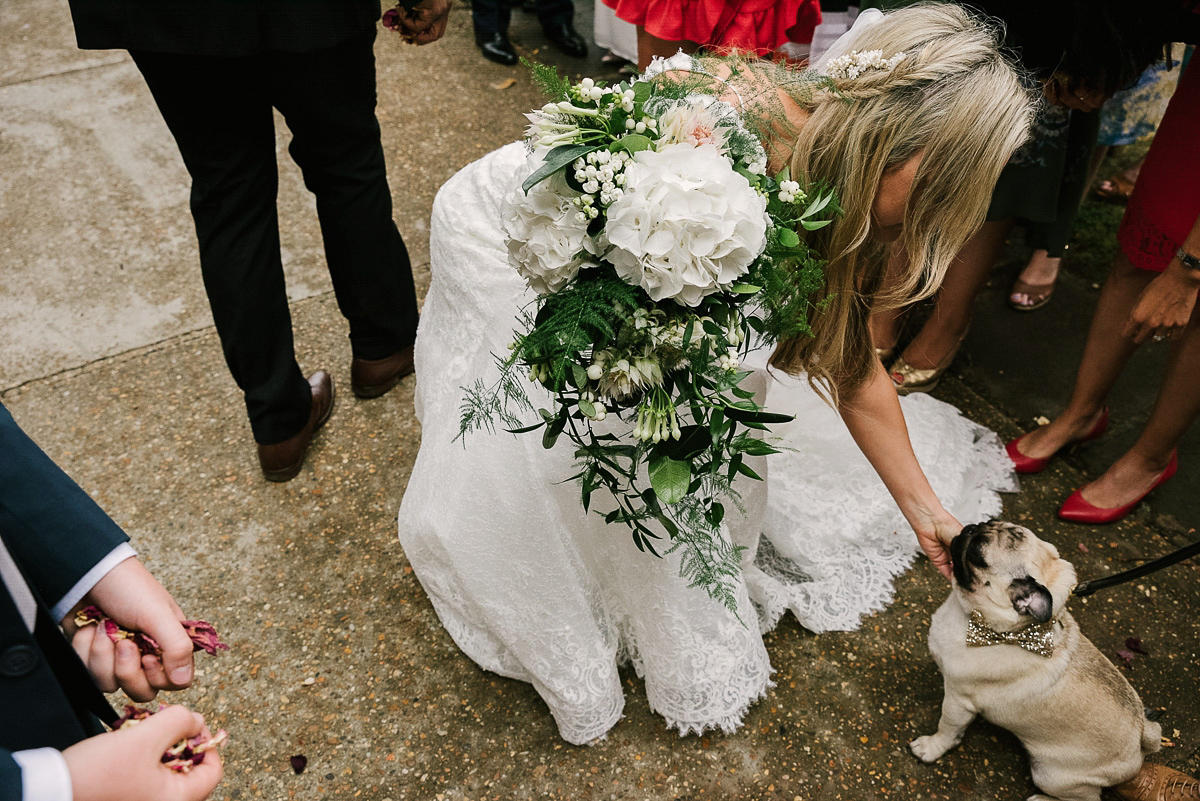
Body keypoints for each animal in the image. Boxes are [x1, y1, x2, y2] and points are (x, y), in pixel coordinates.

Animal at [907, 520, 1161, 801]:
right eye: (988, 523)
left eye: (977, 552)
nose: (971, 527)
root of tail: (1141, 741)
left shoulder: (957, 700)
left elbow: (947, 728)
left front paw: (931, 747)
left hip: (1050, 776)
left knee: (1086, 798)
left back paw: (1040, 798)